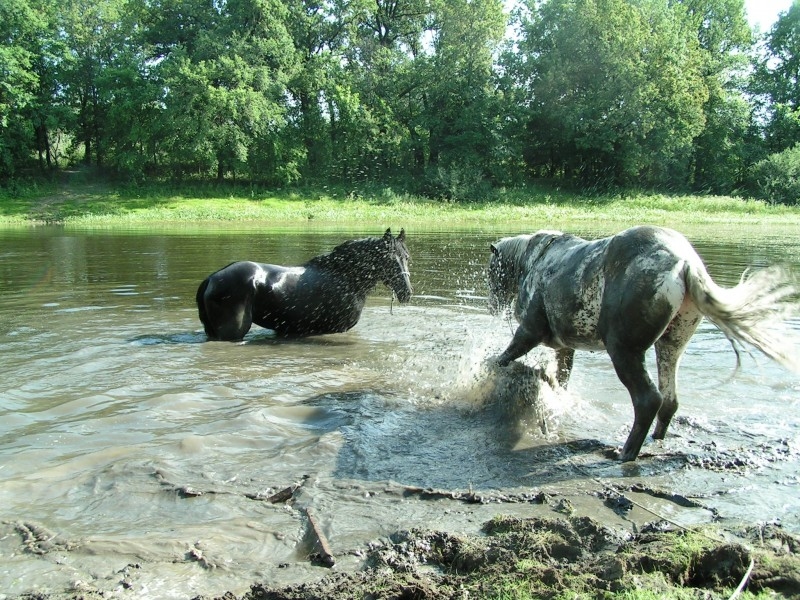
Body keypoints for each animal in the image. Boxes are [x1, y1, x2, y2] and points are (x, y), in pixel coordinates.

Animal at [484, 223, 796, 462]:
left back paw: (625, 452)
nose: (491, 307)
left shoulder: (529, 332)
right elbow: (559, 380)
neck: (535, 261)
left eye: (490, 271)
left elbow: (504, 357)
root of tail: (684, 263)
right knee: (669, 401)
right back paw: (654, 441)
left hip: (624, 351)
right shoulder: (565, 348)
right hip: (670, 346)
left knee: (648, 400)